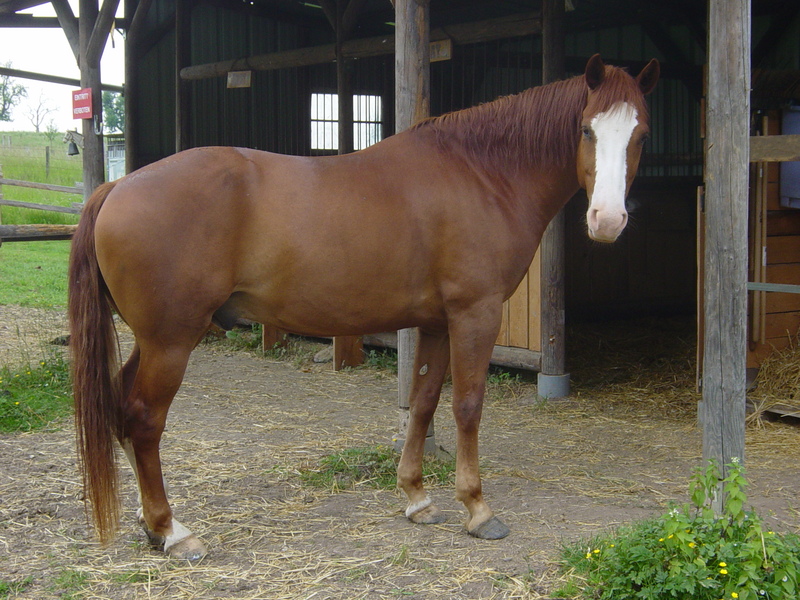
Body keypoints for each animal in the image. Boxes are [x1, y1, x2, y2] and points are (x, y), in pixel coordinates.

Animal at [67, 54, 656, 560]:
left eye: (641, 134)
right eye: (587, 131)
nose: (607, 221)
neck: (481, 174)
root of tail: (118, 185)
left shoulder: (436, 323)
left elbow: (422, 403)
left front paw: (417, 498)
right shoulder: (475, 315)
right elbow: (467, 406)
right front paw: (478, 509)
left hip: (153, 342)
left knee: (121, 409)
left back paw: (150, 525)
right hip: (170, 342)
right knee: (144, 420)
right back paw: (172, 530)